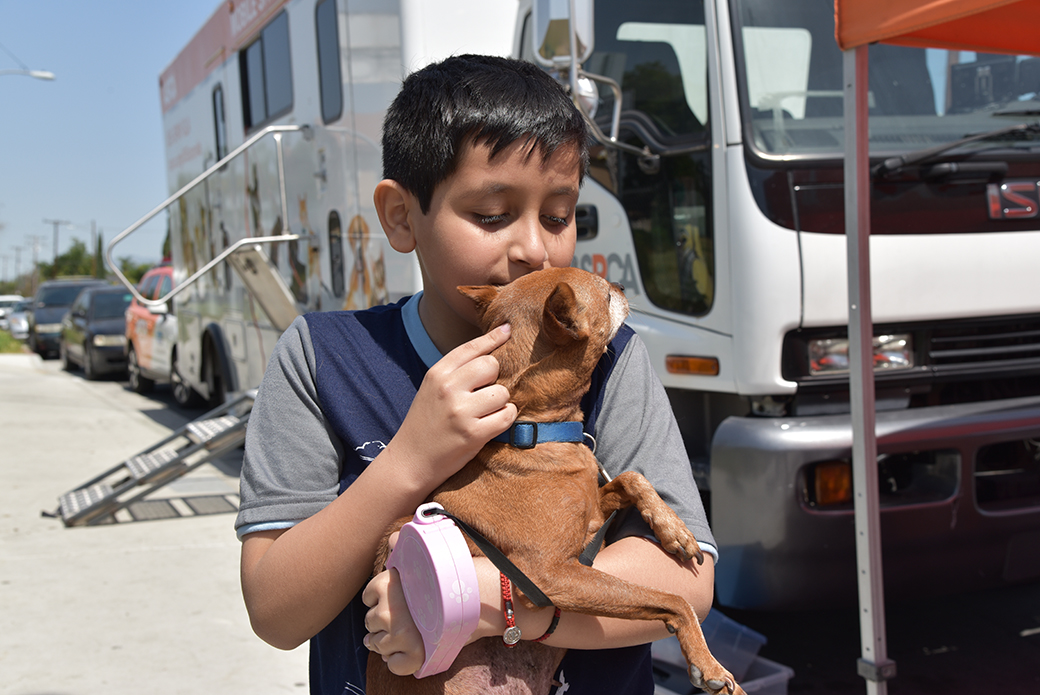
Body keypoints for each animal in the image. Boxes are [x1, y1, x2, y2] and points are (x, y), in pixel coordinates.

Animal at [366, 266, 740, 695]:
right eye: (605, 295)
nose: (621, 285)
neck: (531, 433)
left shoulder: (594, 516)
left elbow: (632, 477)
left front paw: (674, 529)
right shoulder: (550, 575)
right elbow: (675, 600)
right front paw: (708, 663)